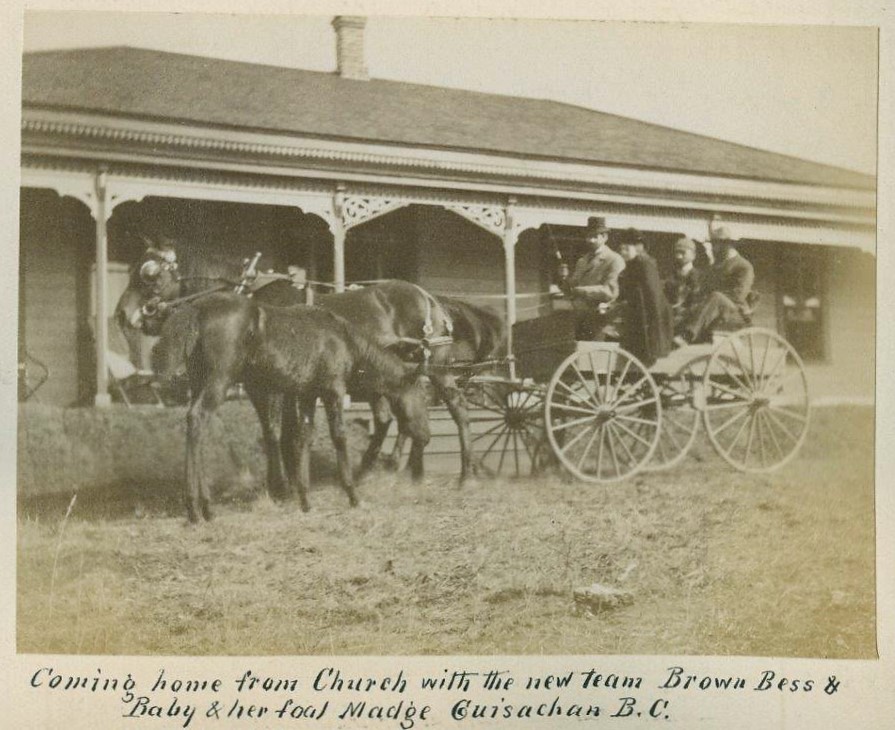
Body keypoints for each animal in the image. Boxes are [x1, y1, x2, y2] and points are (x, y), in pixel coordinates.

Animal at [150, 292, 430, 520]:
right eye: (423, 398)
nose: (426, 436)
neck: (345, 339)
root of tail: (197, 309)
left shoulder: (307, 394)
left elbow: (303, 437)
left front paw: (305, 499)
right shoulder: (333, 390)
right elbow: (338, 437)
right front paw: (353, 495)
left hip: (199, 381)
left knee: (194, 422)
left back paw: (200, 506)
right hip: (220, 379)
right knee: (198, 418)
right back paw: (199, 506)